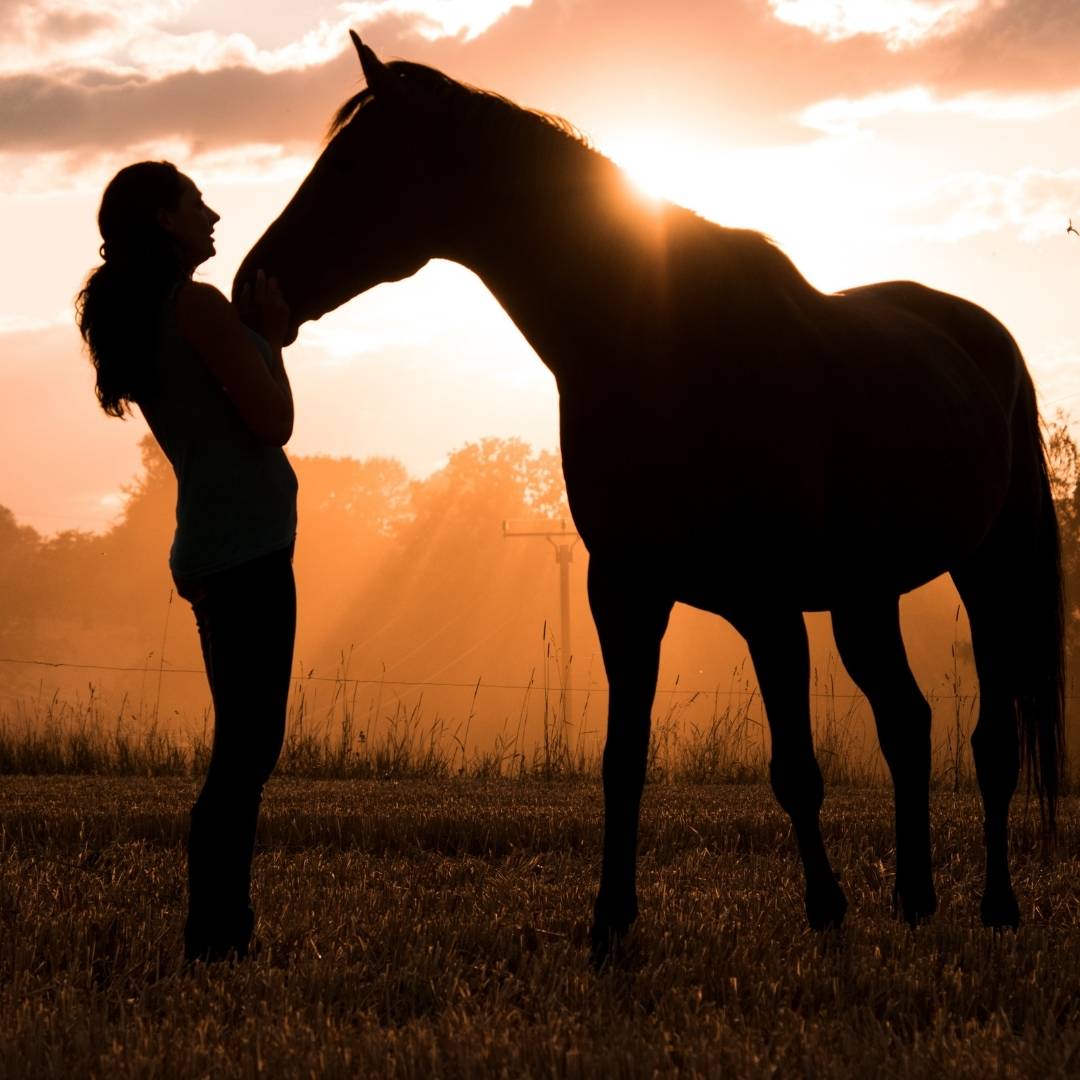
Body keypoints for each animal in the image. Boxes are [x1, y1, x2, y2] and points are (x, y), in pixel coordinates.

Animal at [236, 33, 1062, 963]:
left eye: (355, 165)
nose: (250, 283)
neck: (661, 346)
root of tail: (985, 338)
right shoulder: (624, 592)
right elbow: (621, 760)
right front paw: (609, 925)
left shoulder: (767, 604)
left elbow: (795, 769)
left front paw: (825, 910)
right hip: (865, 597)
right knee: (908, 725)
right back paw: (915, 899)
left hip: (989, 573)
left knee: (990, 742)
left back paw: (996, 905)